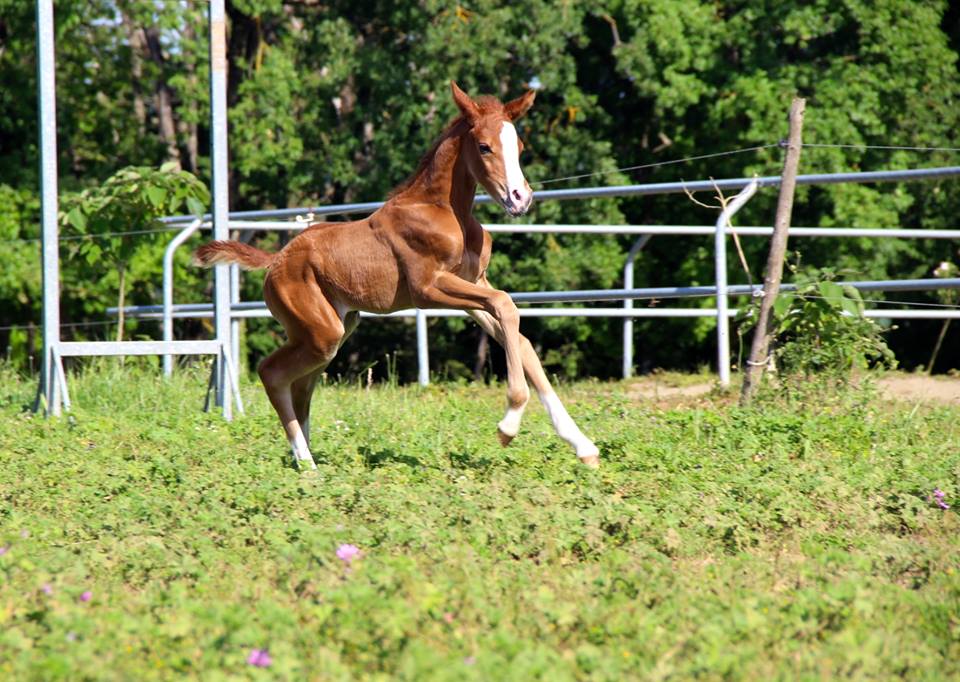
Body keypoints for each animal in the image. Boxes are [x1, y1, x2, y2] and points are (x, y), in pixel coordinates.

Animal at [195, 81, 600, 468]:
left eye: (519, 146)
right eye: (484, 147)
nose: (520, 198)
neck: (443, 209)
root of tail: (276, 259)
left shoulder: (472, 286)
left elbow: (519, 335)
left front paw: (583, 446)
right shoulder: (429, 288)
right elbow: (505, 305)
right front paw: (509, 423)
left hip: (332, 329)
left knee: (299, 386)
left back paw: (305, 457)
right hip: (322, 333)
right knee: (273, 373)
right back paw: (307, 464)